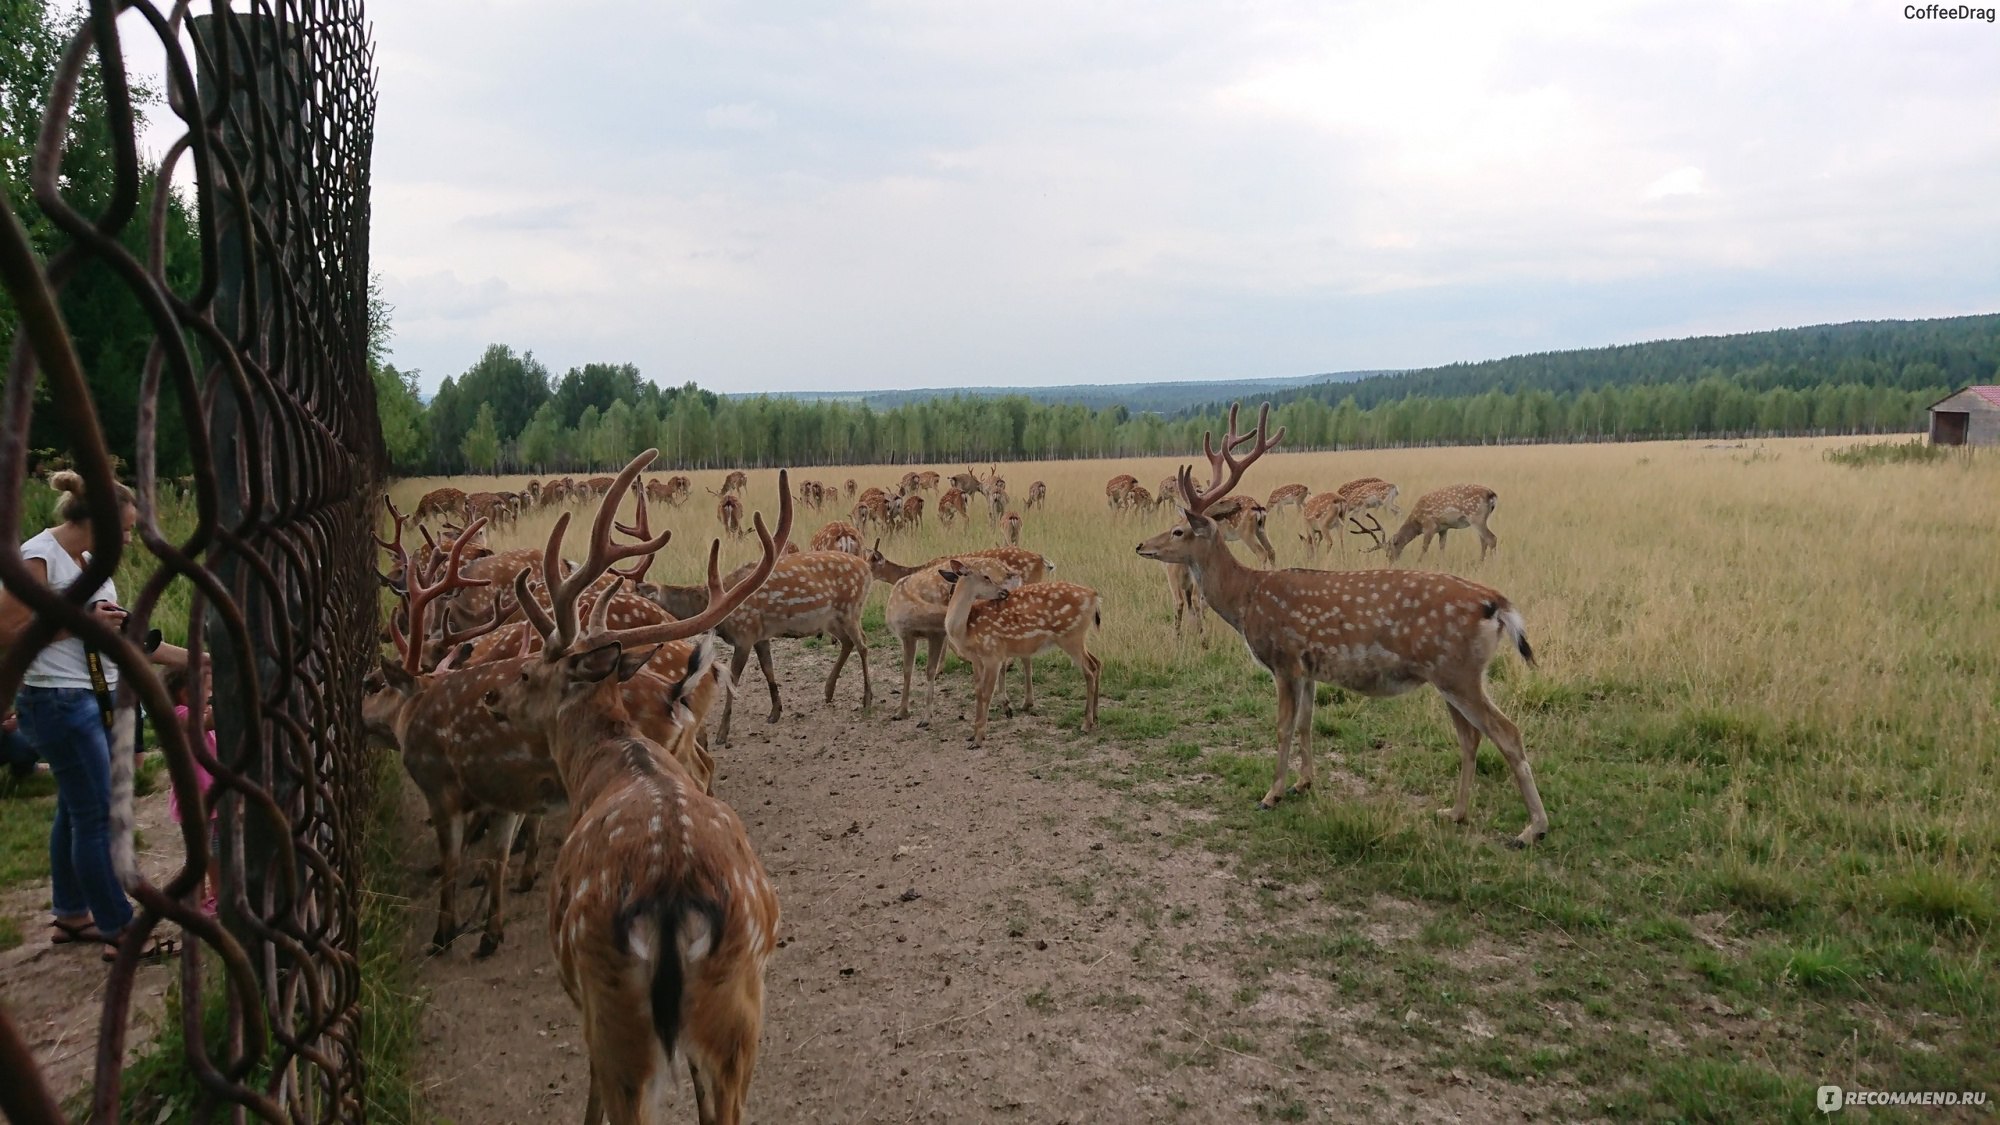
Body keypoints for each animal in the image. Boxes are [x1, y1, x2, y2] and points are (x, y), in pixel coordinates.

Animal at [486, 446, 796, 1120]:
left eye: (527, 672)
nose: (491, 697)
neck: (606, 762)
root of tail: (674, 899)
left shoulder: (581, 996)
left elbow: (587, 1093)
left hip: (614, 1007)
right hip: (738, 1010)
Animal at [932, 552, 1104, 744]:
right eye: (986, 577)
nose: (1004, 592)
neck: (965, 629)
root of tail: (1094, 597)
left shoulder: (993, 653)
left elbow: (986, 693)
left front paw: (979, 738)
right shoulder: (977, 659)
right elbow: (977, 692)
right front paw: (972, 734)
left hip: (1070, 635)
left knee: (1089, 670)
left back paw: (1086, 723)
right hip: (1077, 637)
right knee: (1096, 662)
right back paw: (1095, 717)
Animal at [1144, 402, 1544, 840]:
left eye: (1178, 530)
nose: (1143, 545)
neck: (1246, 598)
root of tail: (1496, 604)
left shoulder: (1284, 659)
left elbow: (1283, 726)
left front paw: (1272, 793)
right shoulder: (1309, 668)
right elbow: (1306, 723)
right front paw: (1304, 783)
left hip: (1458, 672)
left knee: (1507, 733)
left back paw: (1533, 829)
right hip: (1453, 676)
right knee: (1471, 737)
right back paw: (1454, 813)